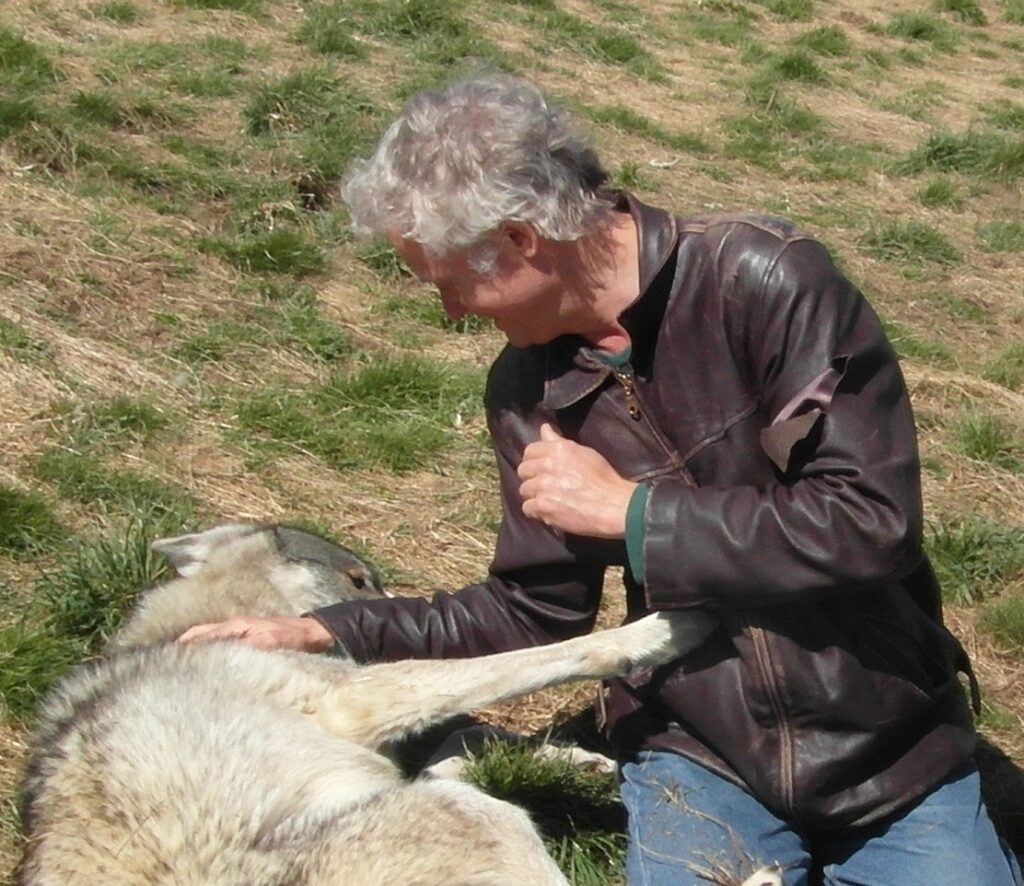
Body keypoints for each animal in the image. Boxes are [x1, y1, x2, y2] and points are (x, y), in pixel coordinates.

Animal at [18, 524, 779, 886]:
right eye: (361, 579)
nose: (391, 607)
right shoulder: (361, 699)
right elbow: (528, 662)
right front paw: (661, 631)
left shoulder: (380, 754)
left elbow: (459, 740)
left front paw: (569, 759)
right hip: (476, 821)